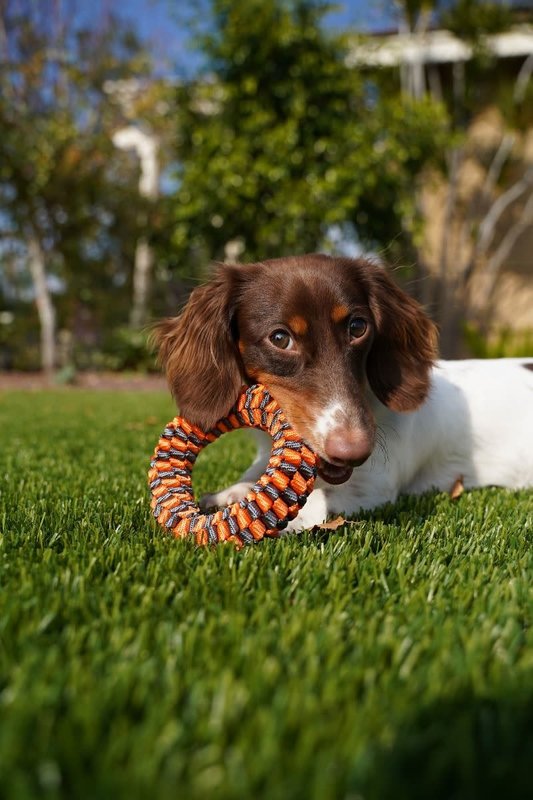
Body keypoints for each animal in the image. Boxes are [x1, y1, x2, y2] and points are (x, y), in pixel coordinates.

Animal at [153, 256, 532, 532]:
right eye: (280, 338)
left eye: (357, 327)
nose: (354, 451)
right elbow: (252, 477)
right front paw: (229, 494)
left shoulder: (374, 486)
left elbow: (317, 503)